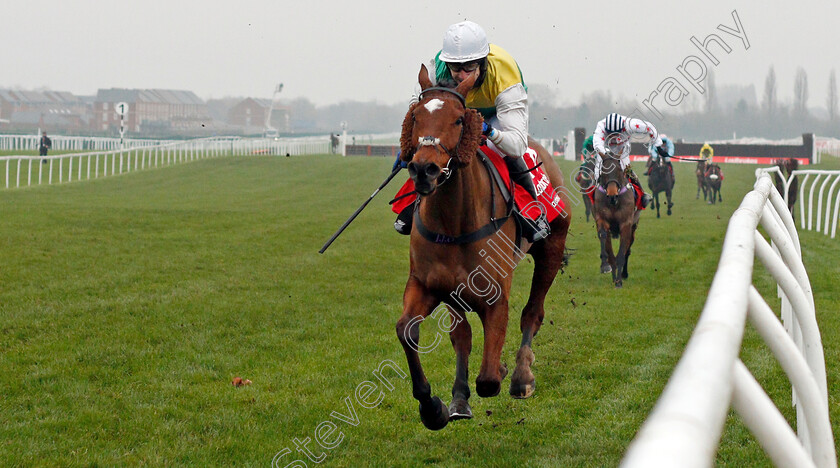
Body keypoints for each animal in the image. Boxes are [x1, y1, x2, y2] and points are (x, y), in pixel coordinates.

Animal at [394, 64, 572, 430]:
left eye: (459, 119)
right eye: (415, 116)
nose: (424, 169)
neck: (453, 224)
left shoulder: (495, 295)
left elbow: (489, 379)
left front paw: (502, 371)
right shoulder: (429, 283)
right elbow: (410, 330)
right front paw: (433, 406)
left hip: (552, 248)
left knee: (532, 313)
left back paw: (520, 375)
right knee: (462, 334)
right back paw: (461, 398)